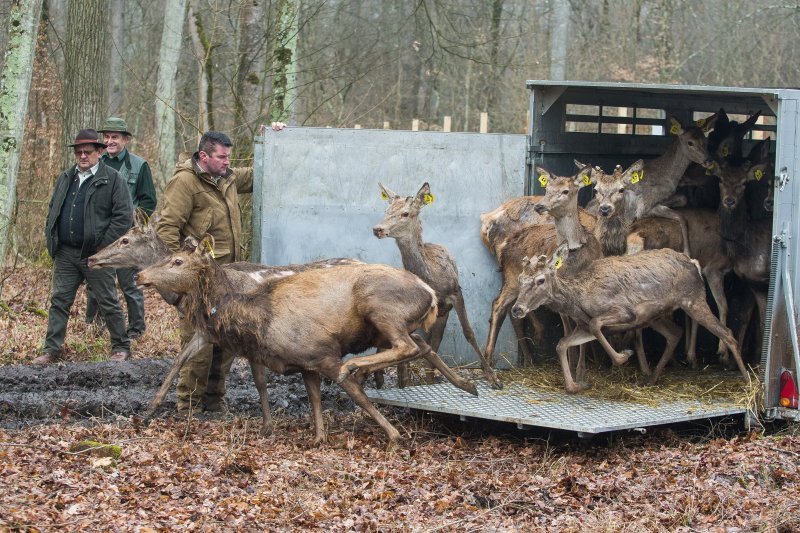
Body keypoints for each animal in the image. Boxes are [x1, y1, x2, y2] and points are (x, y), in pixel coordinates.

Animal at [136, 238, 482, 444]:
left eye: (177, 261)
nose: (140, 275)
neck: (256, 319)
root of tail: (430, 293)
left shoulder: (322, 353)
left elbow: (357, 396)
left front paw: (393, 433)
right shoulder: (306, 363)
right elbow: (313, 397)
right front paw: (317, 437)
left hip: (380, 307)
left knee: (408, 347)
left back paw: (358, 367)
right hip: (386, 326)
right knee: (421, 346)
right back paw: (467, 384)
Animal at [376, 182, 500, 386]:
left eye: (405, 213)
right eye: (386, 210)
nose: (377, 229)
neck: (432, 278)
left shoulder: (456, 293)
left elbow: (469, 332)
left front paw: (492, 377)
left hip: (443, 312)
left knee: (435, 340)